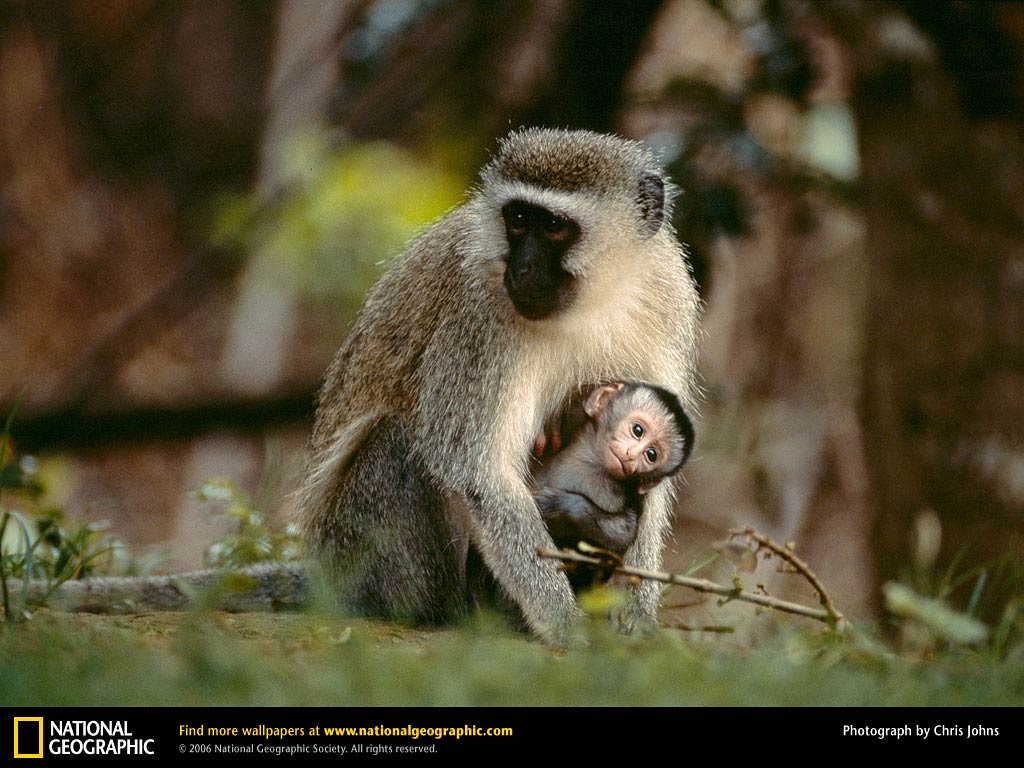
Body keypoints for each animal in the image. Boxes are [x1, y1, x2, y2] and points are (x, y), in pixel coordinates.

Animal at [532, 382, 692, 589]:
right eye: (637, 430)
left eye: (651, 455)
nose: (631, 455)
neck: (592, 464)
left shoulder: (617, 495)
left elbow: (623, 533)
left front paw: (557, 505)